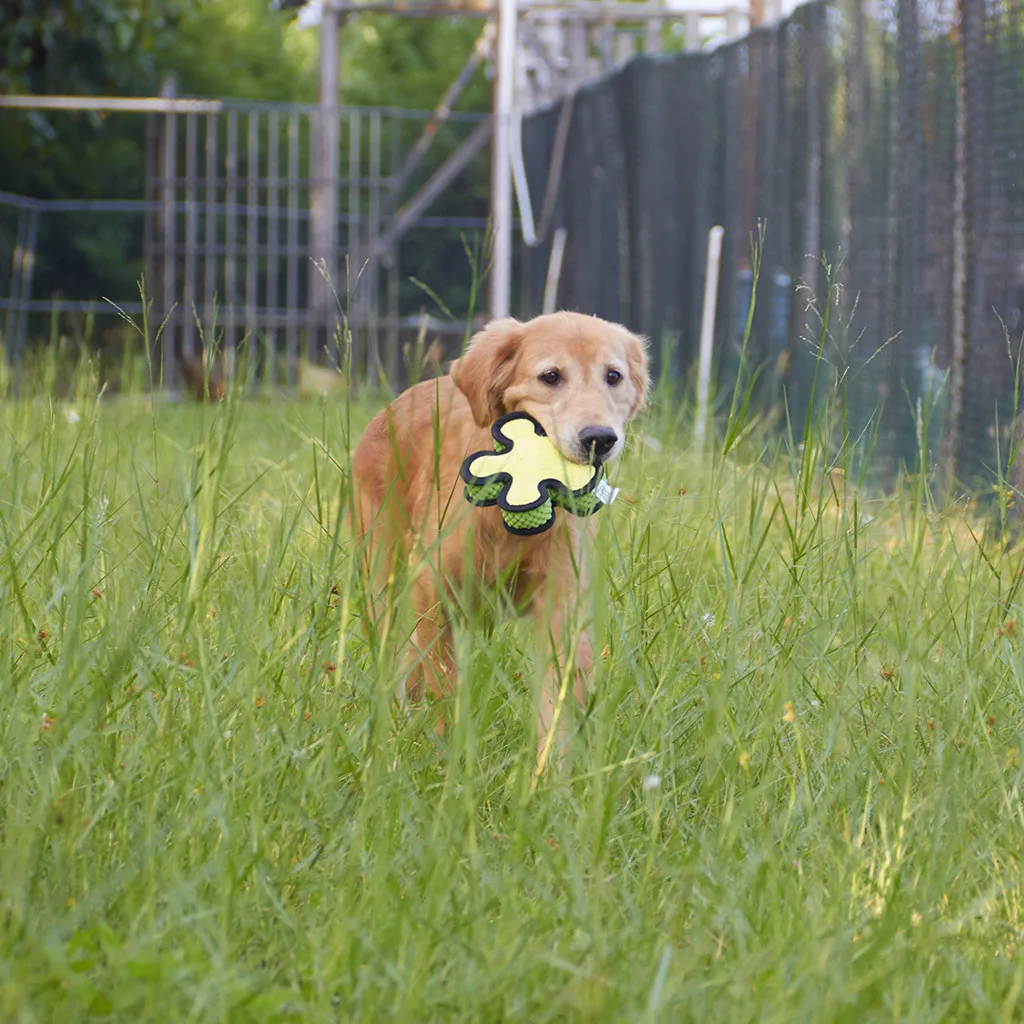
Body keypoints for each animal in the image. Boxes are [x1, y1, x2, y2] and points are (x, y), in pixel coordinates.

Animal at [352, 311, 647, 770]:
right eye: (550, 376)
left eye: (613, 376)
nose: (599, 438)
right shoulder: (436, 592)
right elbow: (442, 687)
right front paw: (446, 756)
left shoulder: (562, 606)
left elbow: (556, 703)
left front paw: (548, 776)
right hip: (382, 579)